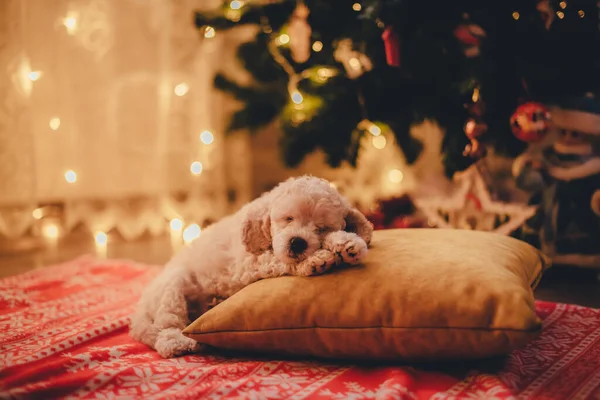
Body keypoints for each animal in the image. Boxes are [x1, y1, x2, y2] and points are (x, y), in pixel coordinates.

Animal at [131, 177, 372, 358]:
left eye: (321, 227)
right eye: (288, 218)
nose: (297, 242)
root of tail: (139, 313)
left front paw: (348, 243)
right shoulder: (247, 265)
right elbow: (279, 260)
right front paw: (315, 260)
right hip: (172, 287)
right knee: (166, 327)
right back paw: (179, 342)